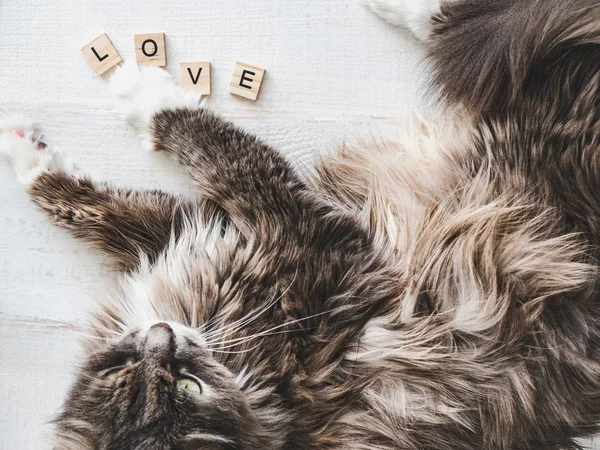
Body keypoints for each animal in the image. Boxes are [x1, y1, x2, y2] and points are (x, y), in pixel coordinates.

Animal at [1, 0, 600, 448]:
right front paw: (115, 104)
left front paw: (35, 146)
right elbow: (167, 169)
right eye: (188, 386)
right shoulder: (271, 238)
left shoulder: (234, 232)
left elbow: (137, 182)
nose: (161, 337)